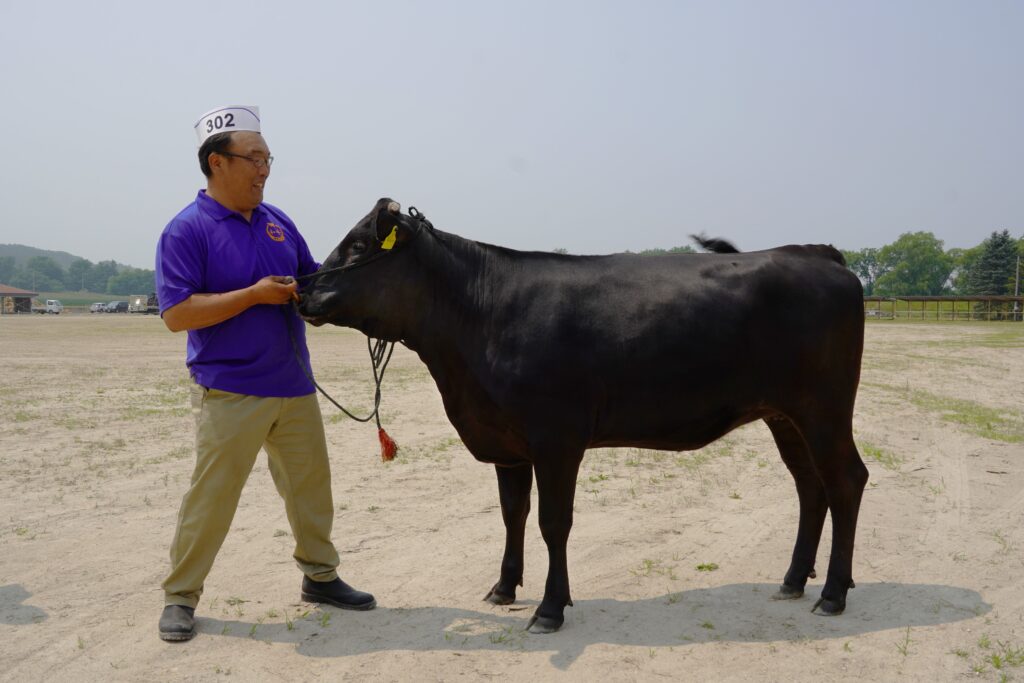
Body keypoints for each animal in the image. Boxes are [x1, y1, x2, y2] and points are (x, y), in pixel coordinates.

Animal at [296, 198, 864, 634]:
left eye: (360, 246)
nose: (302, 288)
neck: (477, 317)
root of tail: (814, 251)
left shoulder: (556, 438)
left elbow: (554, 522)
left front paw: (550, 608)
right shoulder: (507, 442)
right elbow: (513, 514)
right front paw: (504, 587)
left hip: (825, 409)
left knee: (845, 481)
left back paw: (833, 594)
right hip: (784, 416)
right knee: (809, 486)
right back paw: (793, 580)